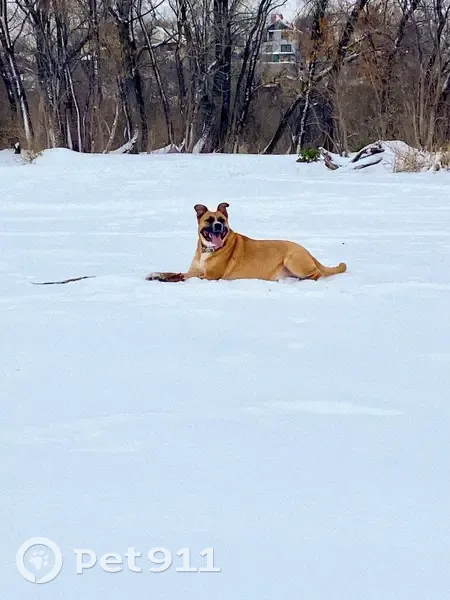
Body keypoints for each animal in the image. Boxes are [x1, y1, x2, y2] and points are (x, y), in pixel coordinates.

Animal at [146, 203, 347, 283]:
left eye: (222, 220)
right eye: (209, 220)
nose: (218, 226)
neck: (209, 250)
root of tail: (309, 253)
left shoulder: (211, 276)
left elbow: (181, 278)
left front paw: (164, 280)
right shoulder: (195, 271)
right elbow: (175, 273)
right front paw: (156, 274)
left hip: (291, 259)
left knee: (316, 274)